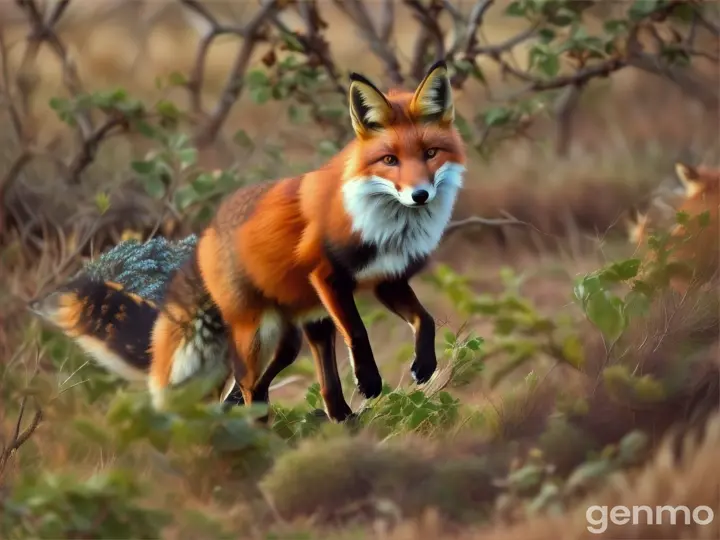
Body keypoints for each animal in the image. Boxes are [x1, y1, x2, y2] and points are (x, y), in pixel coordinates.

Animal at [150, 61, 466, 420]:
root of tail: (206, 232)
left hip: (304, 328)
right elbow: (359, 331)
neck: (388, 229)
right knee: (247, 383)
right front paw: (369, 381)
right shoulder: (327, 275)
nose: (420, 195)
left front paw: (425, 365)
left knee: (294, 383)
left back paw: (341, 418)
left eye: (430, 153)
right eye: (389, 160)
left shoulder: (388, 279)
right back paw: (258, 425)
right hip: (259, 331)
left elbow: (425, 319)